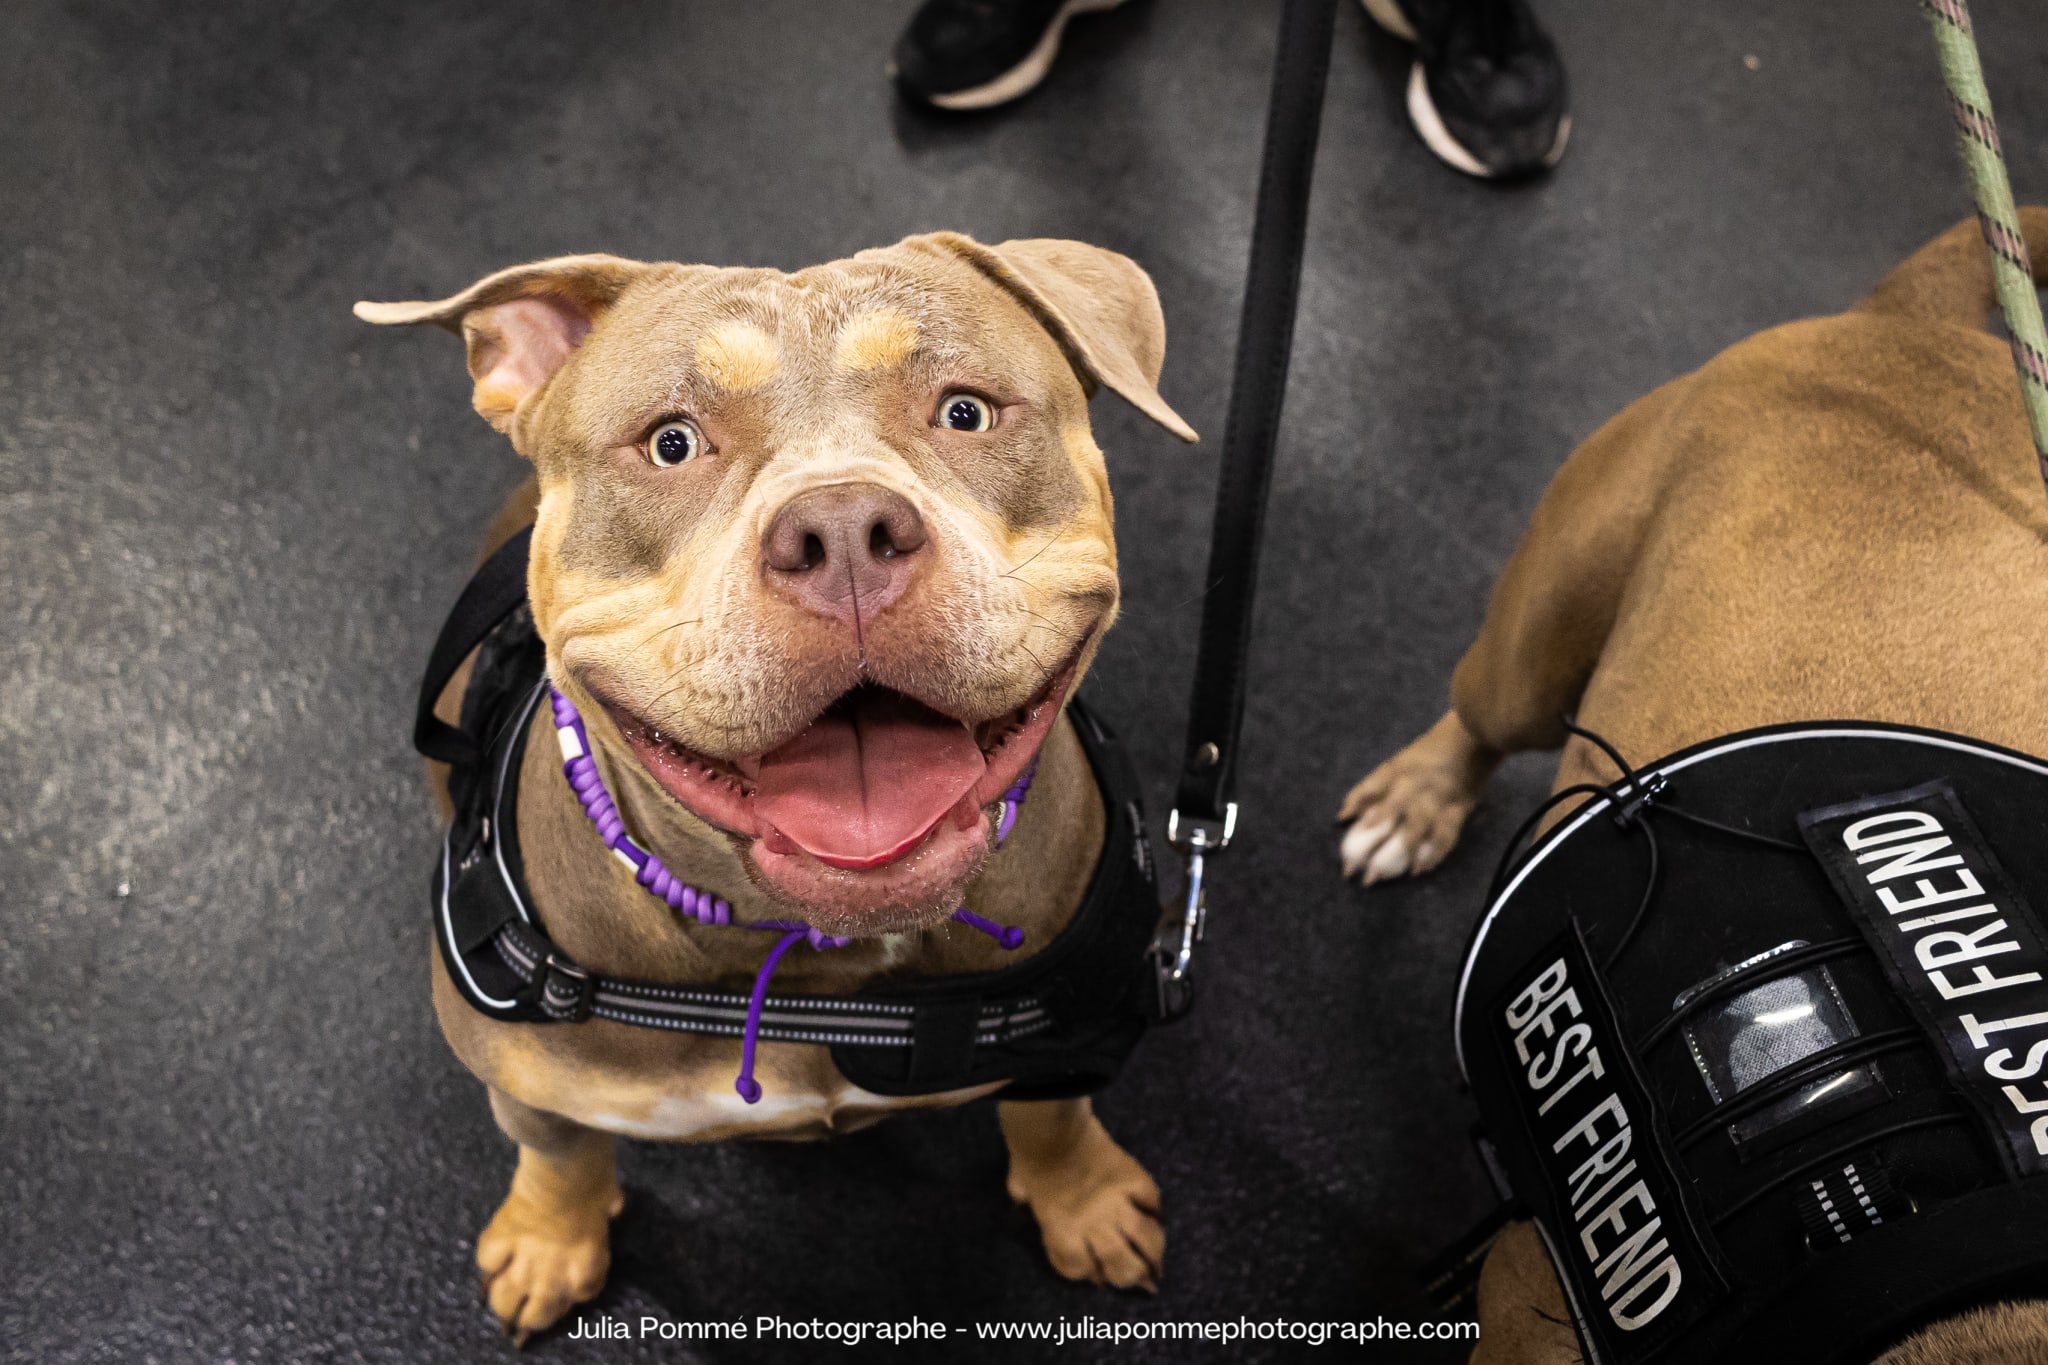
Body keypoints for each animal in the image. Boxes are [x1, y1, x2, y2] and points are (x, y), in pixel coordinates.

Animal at [360, 229, 1196, 1342]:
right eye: (671, 444)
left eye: (965, 411)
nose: (842, 531)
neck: (816, 968)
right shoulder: (530, 1085)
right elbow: (559, 1152)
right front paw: (549, 1239)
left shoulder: (1080, 1032)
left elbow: (1052, 1112)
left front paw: (1085, 1200)